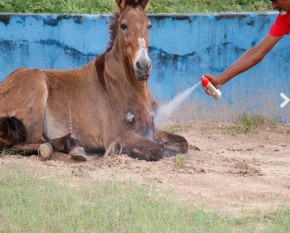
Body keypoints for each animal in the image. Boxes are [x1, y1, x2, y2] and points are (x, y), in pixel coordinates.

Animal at [0, 0, 188, 161]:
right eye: (123, 25)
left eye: (149, 25)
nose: (143, 66)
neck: (127, 86)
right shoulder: (117, 133)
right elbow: (158, 150)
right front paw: (119, 150)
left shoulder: (149, 129)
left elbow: (182, 142)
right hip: (36, 82)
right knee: (32, 142)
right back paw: (69, 146)